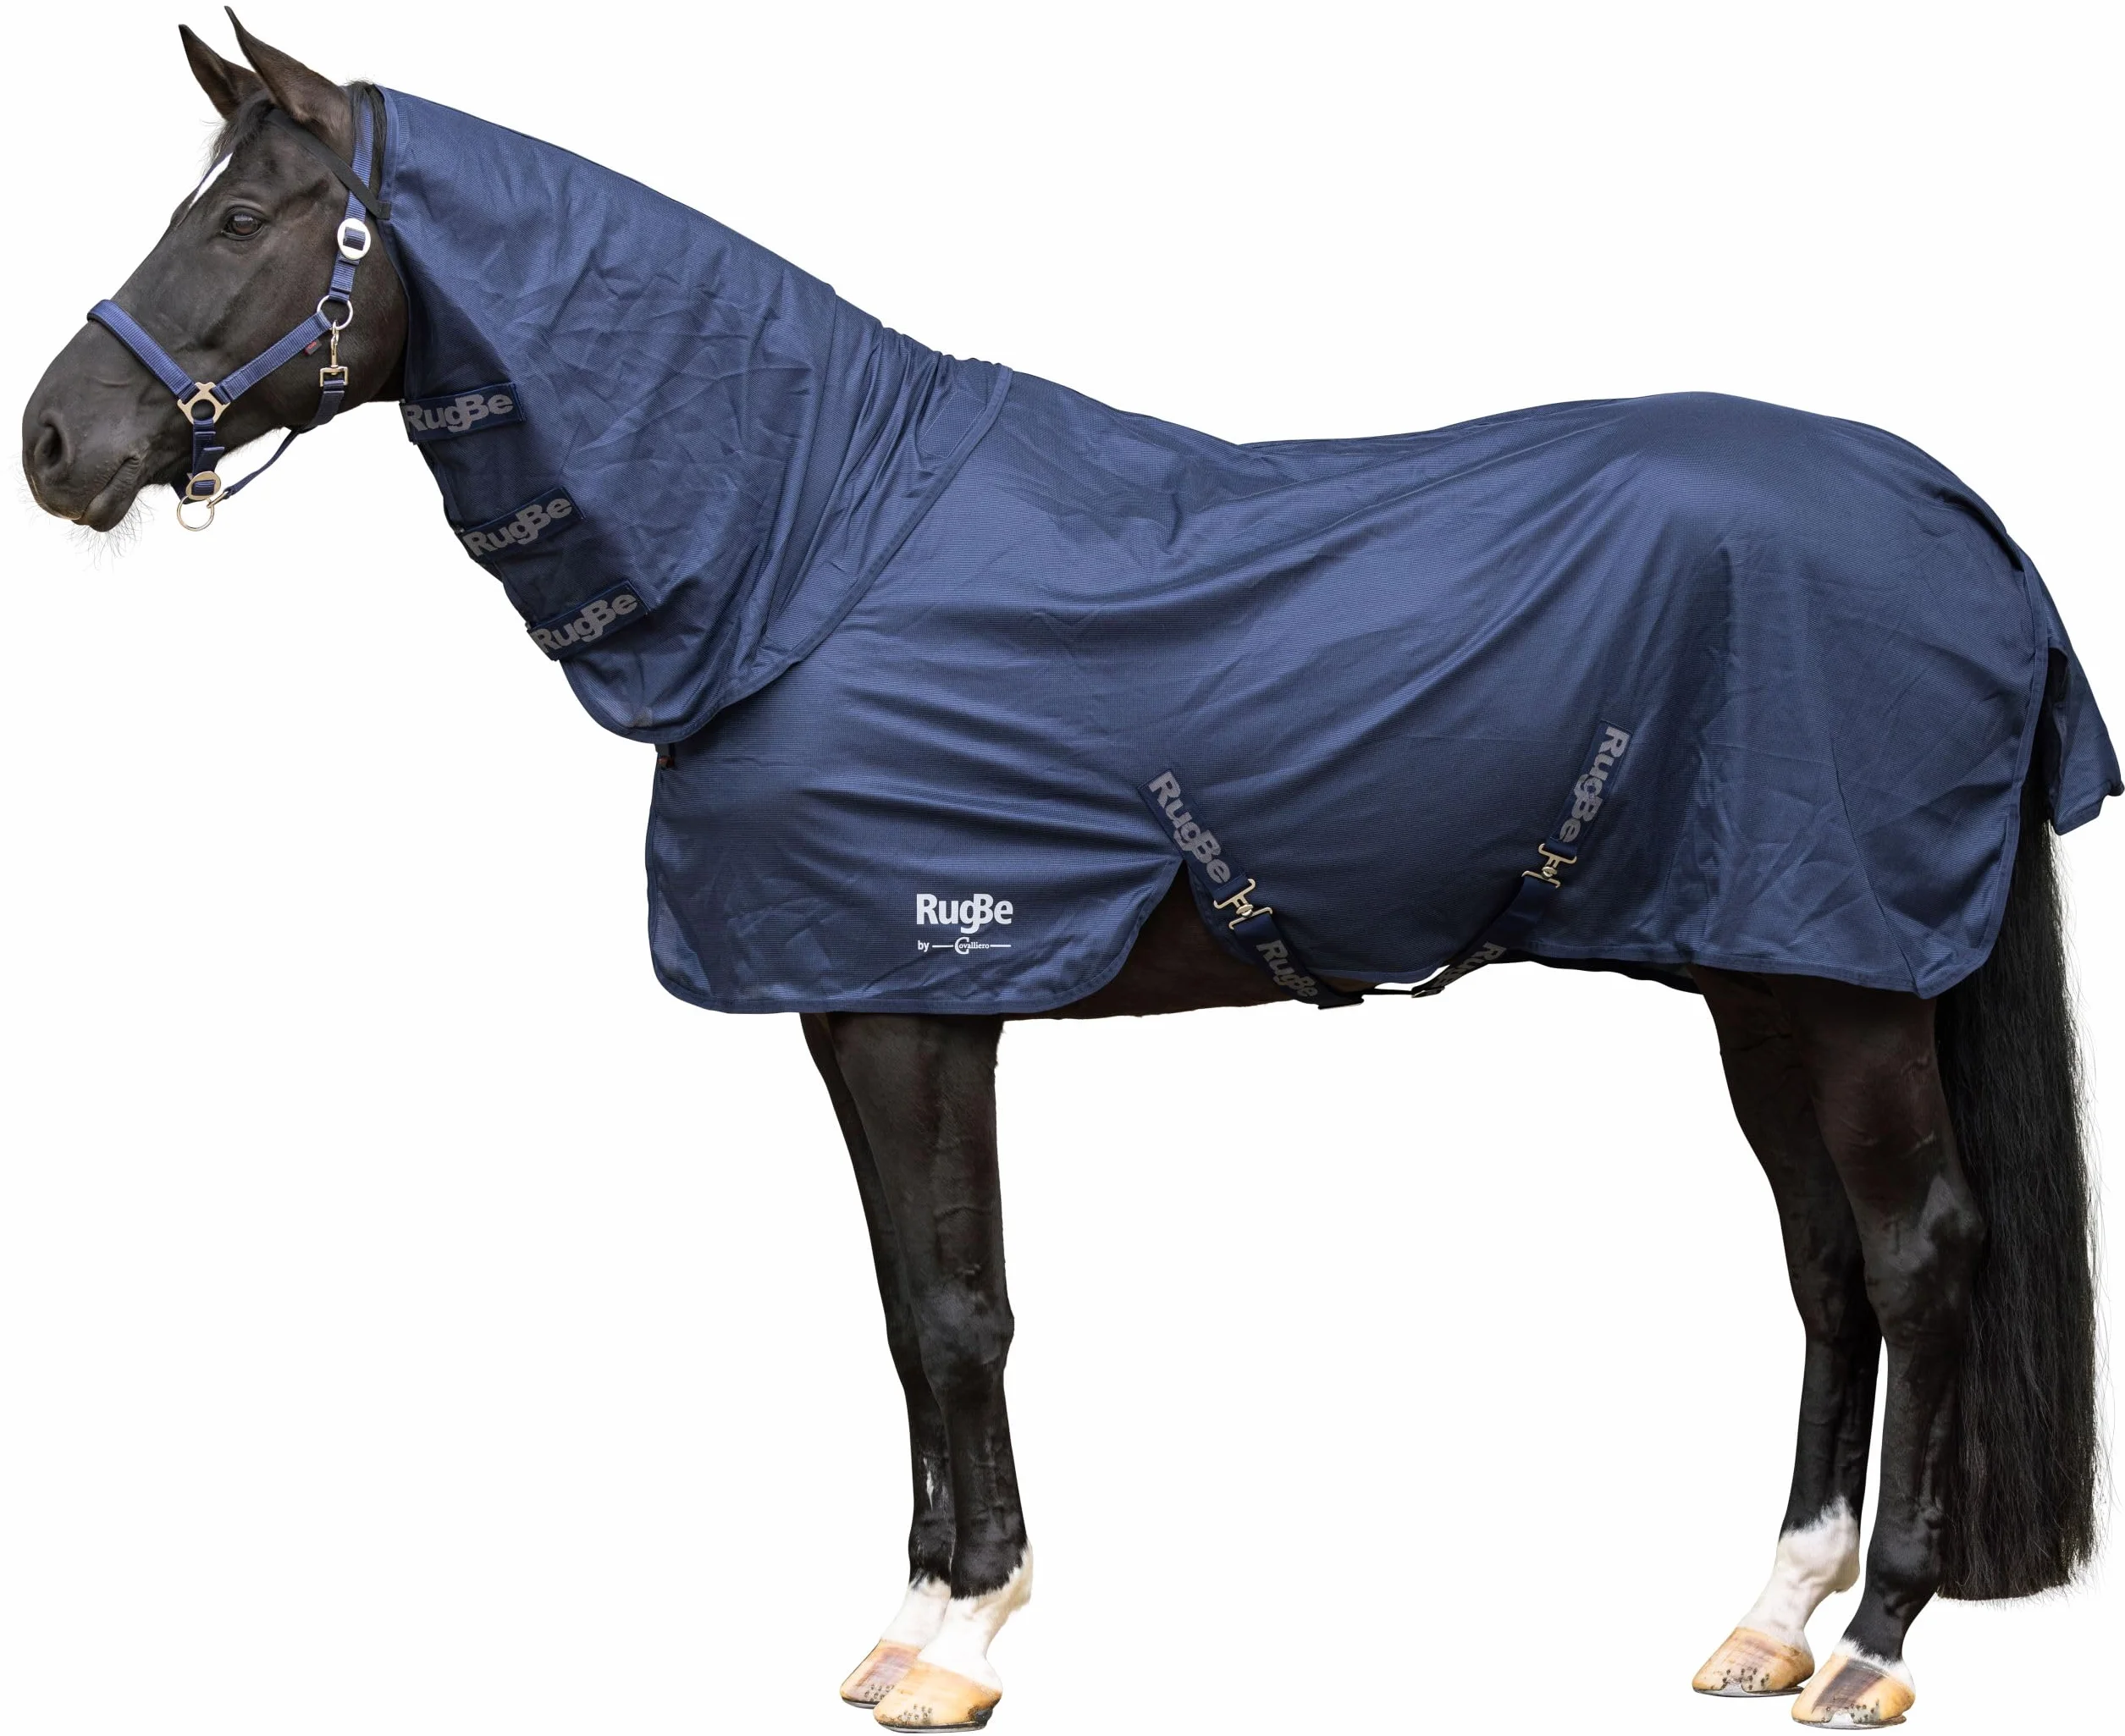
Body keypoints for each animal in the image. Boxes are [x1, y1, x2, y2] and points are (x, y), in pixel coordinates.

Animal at [21, 18, 2110, 1731]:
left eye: (242, 219)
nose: (54, 442)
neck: (811, 546)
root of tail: (1961, 513)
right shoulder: (860, 1002)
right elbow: (901, 1303)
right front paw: (917, 1612)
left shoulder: (925, 1000)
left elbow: (963, 1307)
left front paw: (959, 1640)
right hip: (1766, 971)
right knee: (1826, 1266)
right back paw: (1767, 1616)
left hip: (1842, 987)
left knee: (1922, 1254)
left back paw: (1872, 1641)